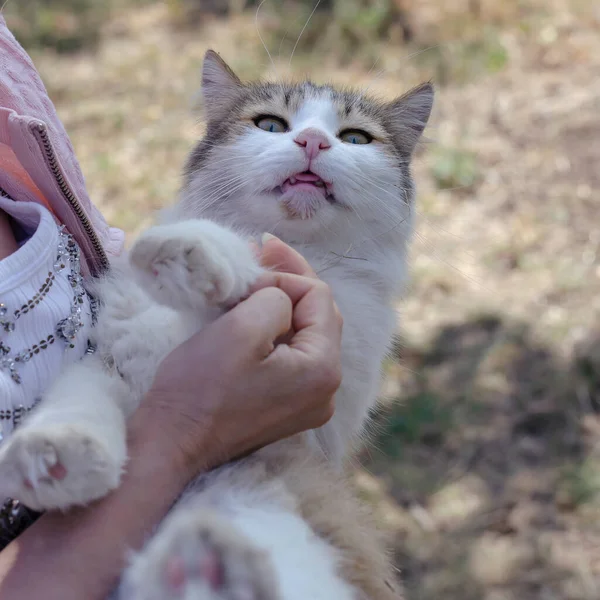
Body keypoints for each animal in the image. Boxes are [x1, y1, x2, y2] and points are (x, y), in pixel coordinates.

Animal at [0, 51, 434, 600]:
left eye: (356, 138)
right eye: (270, 125)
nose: (313, 141)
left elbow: (248, 272)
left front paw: (193, 254)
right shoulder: (116, 354)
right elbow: (78, 399)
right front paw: (53, 457)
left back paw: (212, 564)